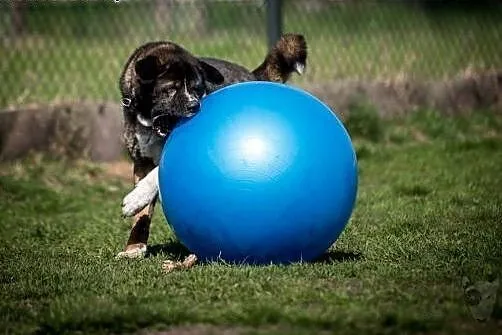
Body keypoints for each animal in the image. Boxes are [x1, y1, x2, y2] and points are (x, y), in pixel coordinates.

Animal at [118, 34, 308, 260]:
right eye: (171, 88)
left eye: (197, 89)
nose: (194, 106)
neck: (150, 124)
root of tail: (251, 74)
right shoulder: (141, 162)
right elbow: (142, 215)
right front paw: (134, 247)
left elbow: (154, 178)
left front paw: (135, 199)